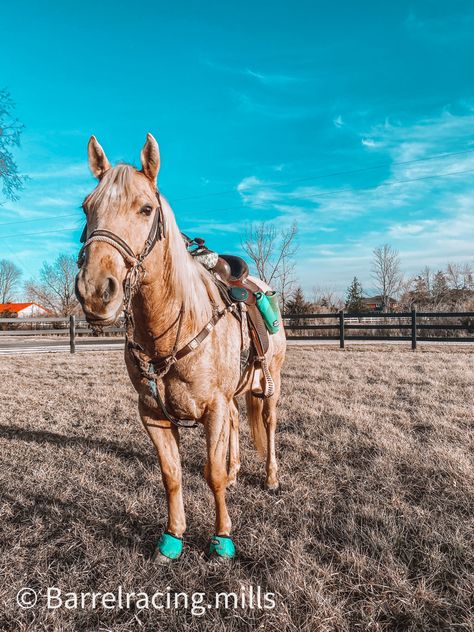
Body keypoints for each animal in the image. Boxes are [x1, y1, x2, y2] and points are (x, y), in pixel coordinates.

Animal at [76, 135, 286, 564]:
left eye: (146, 208)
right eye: (87, 207)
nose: (95, 291)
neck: (174, 325)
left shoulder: (213, 408)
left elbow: (212, 474)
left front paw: (222, 539)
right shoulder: (153, 415)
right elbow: (171, 475)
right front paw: (172, 537)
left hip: (269, 384)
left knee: (270, 425)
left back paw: (271, 477)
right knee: (237, 423)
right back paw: (238, 471)